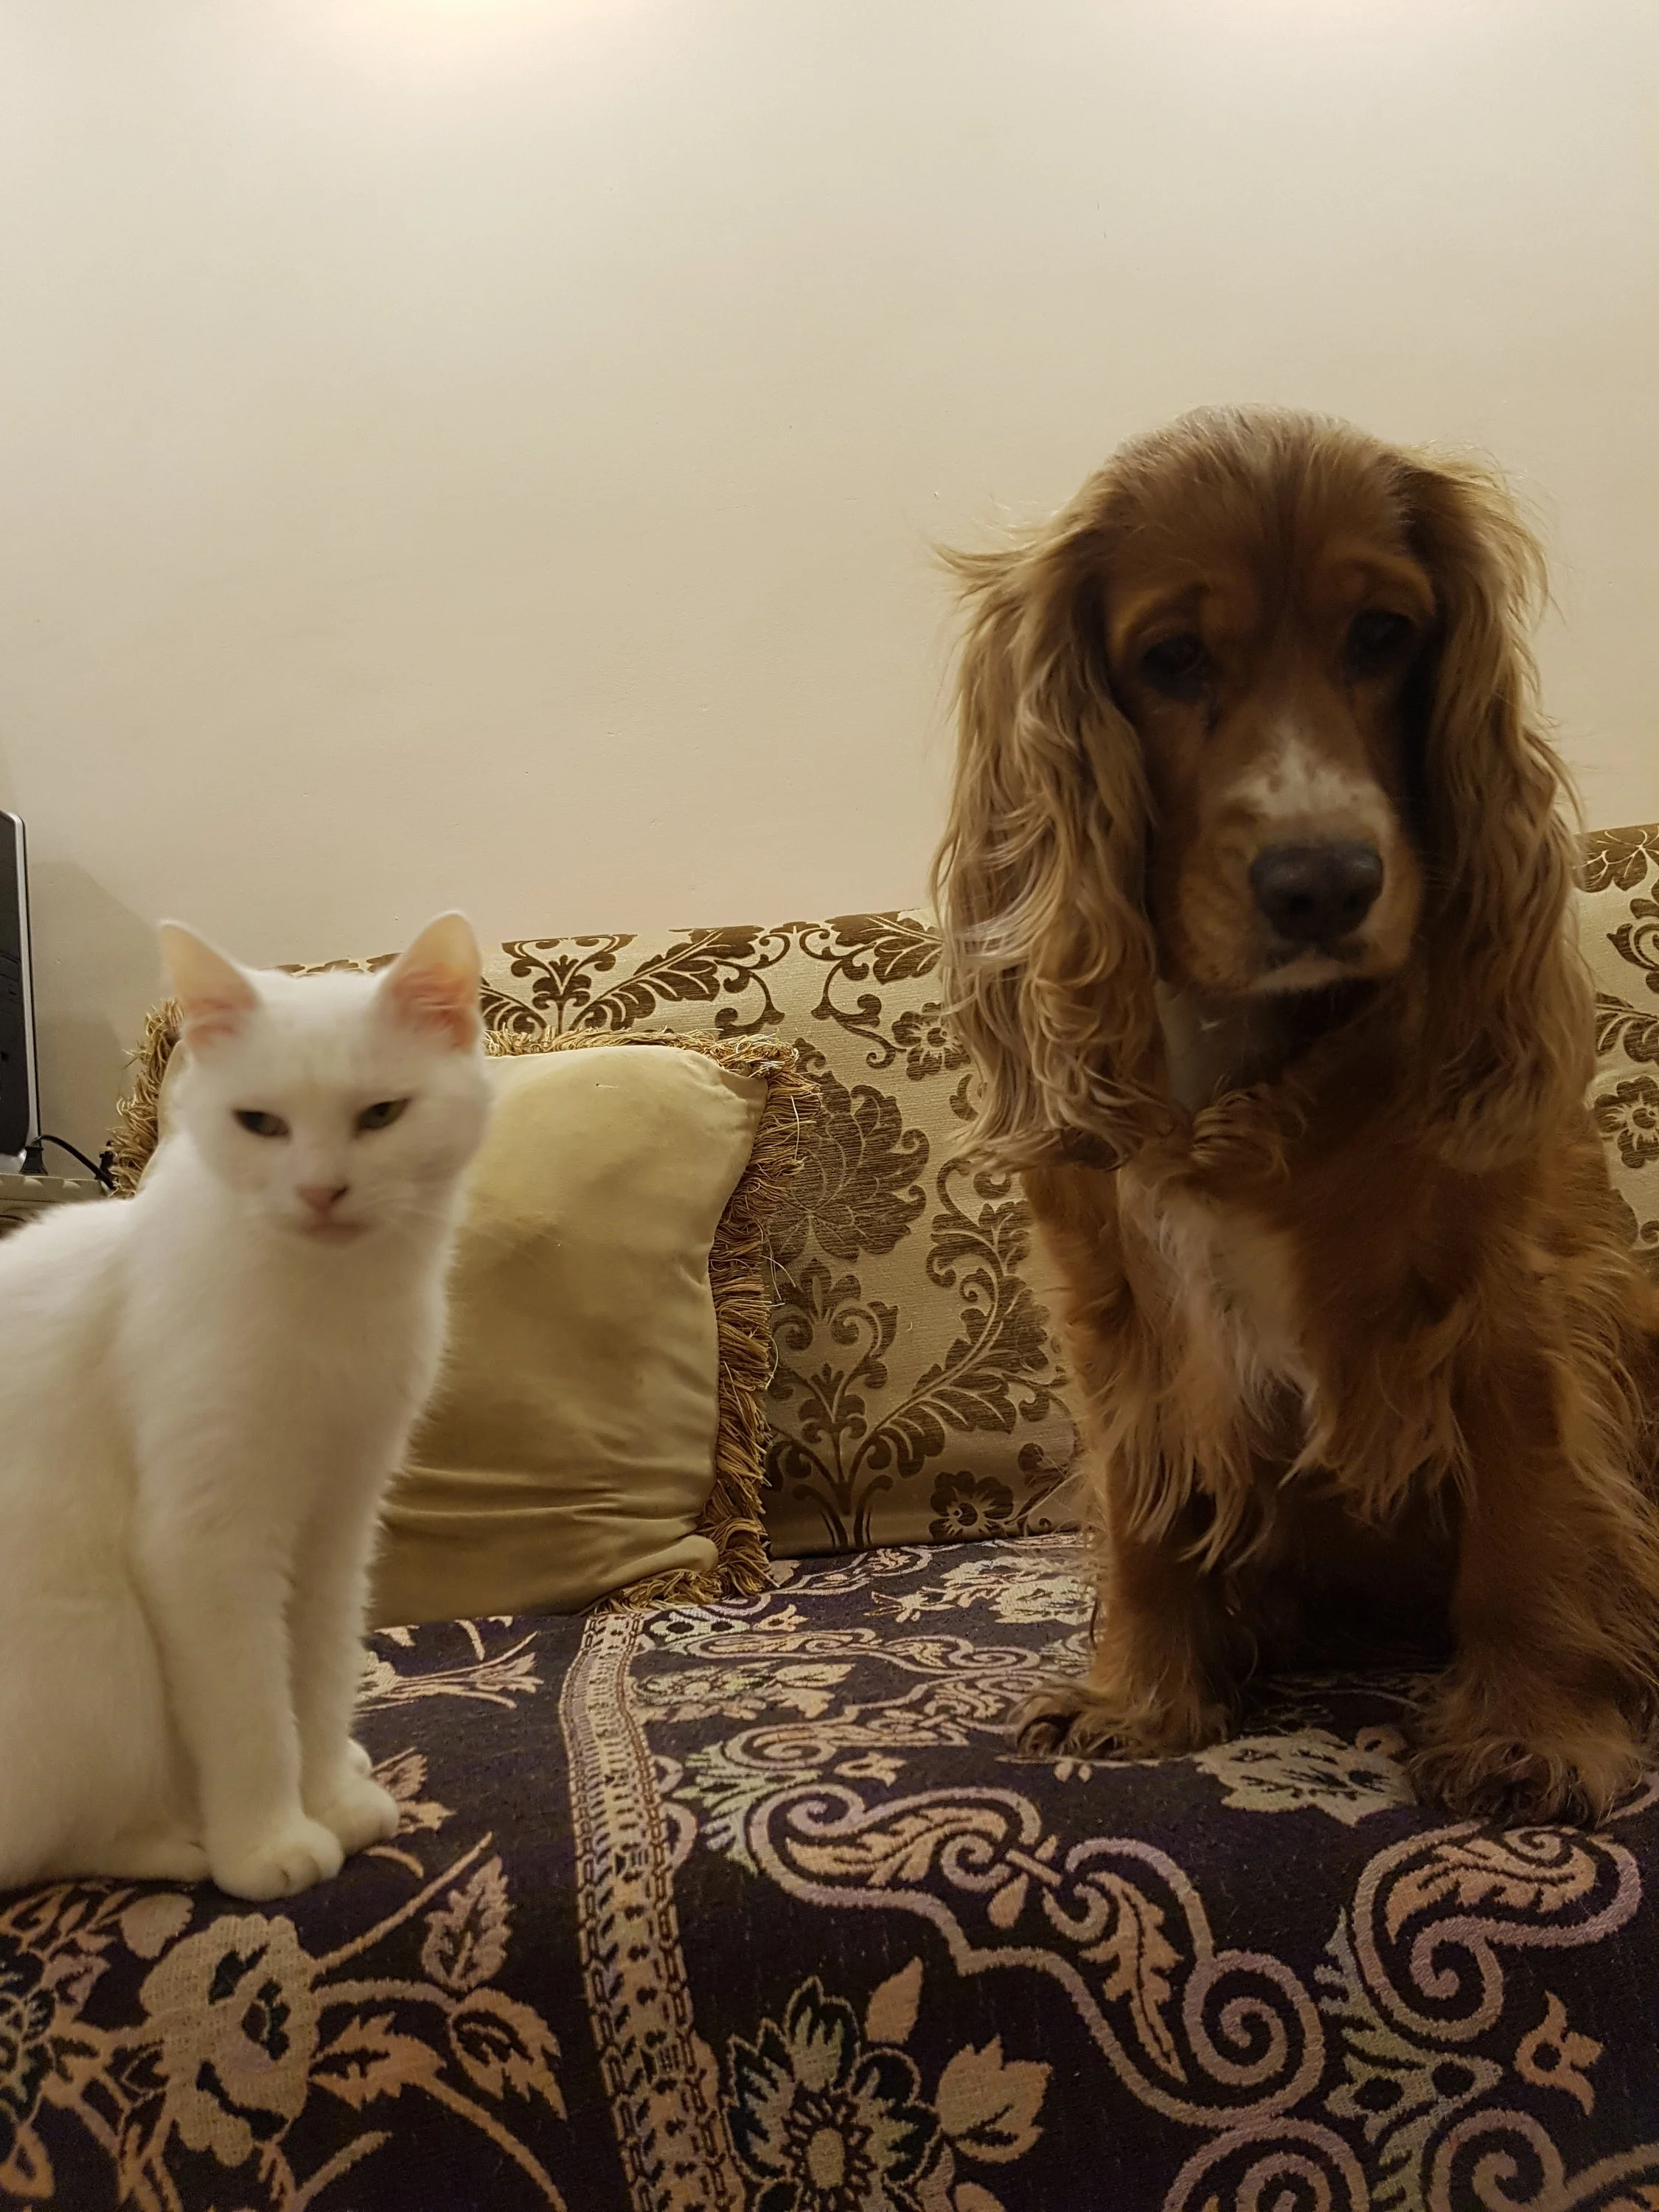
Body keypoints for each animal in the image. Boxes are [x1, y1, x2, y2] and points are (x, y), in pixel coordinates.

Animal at [0, 912, 491, 1901]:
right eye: (260, 1124)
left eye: (381, 1115)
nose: (321, 1191)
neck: (333, 1306)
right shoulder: (208, 1545)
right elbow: (252, 1717)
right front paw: (270, 1842)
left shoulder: (337, 1526)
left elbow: (318, 1679)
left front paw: (330, 1799)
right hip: (98, 1644)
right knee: (50, 1846)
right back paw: (180, 1844)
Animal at [932, 405, 1659, 1821]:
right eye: (1169, 658)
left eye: (1381, 634)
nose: (1324, 882)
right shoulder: (1113, 1312)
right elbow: (1145, 1513)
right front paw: (1138, 1695)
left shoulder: (1518, 1291)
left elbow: (1532, 1518)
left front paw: (1534, 1733)